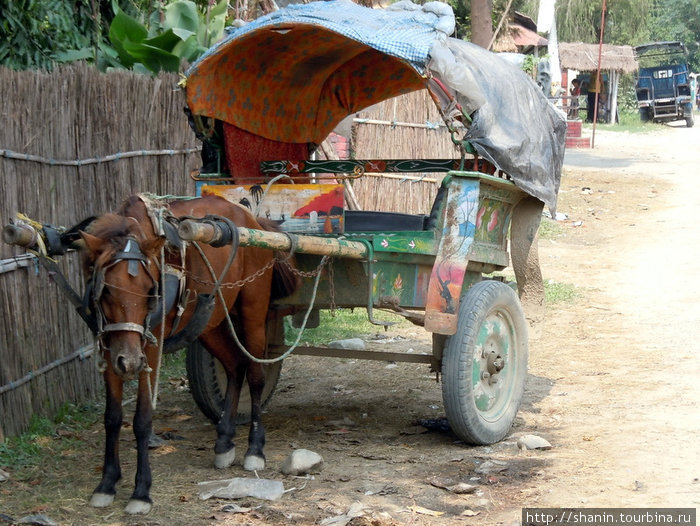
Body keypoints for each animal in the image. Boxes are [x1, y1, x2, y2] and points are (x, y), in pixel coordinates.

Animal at [81, 194, 296, 516]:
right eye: (105, 290)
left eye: (150, 290)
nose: (130, 362)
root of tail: (253, 220)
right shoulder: (109, 347)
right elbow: (112, 417)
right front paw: (106, 484)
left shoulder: (150, 348)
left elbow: (142, 420)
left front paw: (141, 492)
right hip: (209, 321)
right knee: (235, 366)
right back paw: (224, 441)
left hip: (253, 310)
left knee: (256, 374)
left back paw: (254, 449)